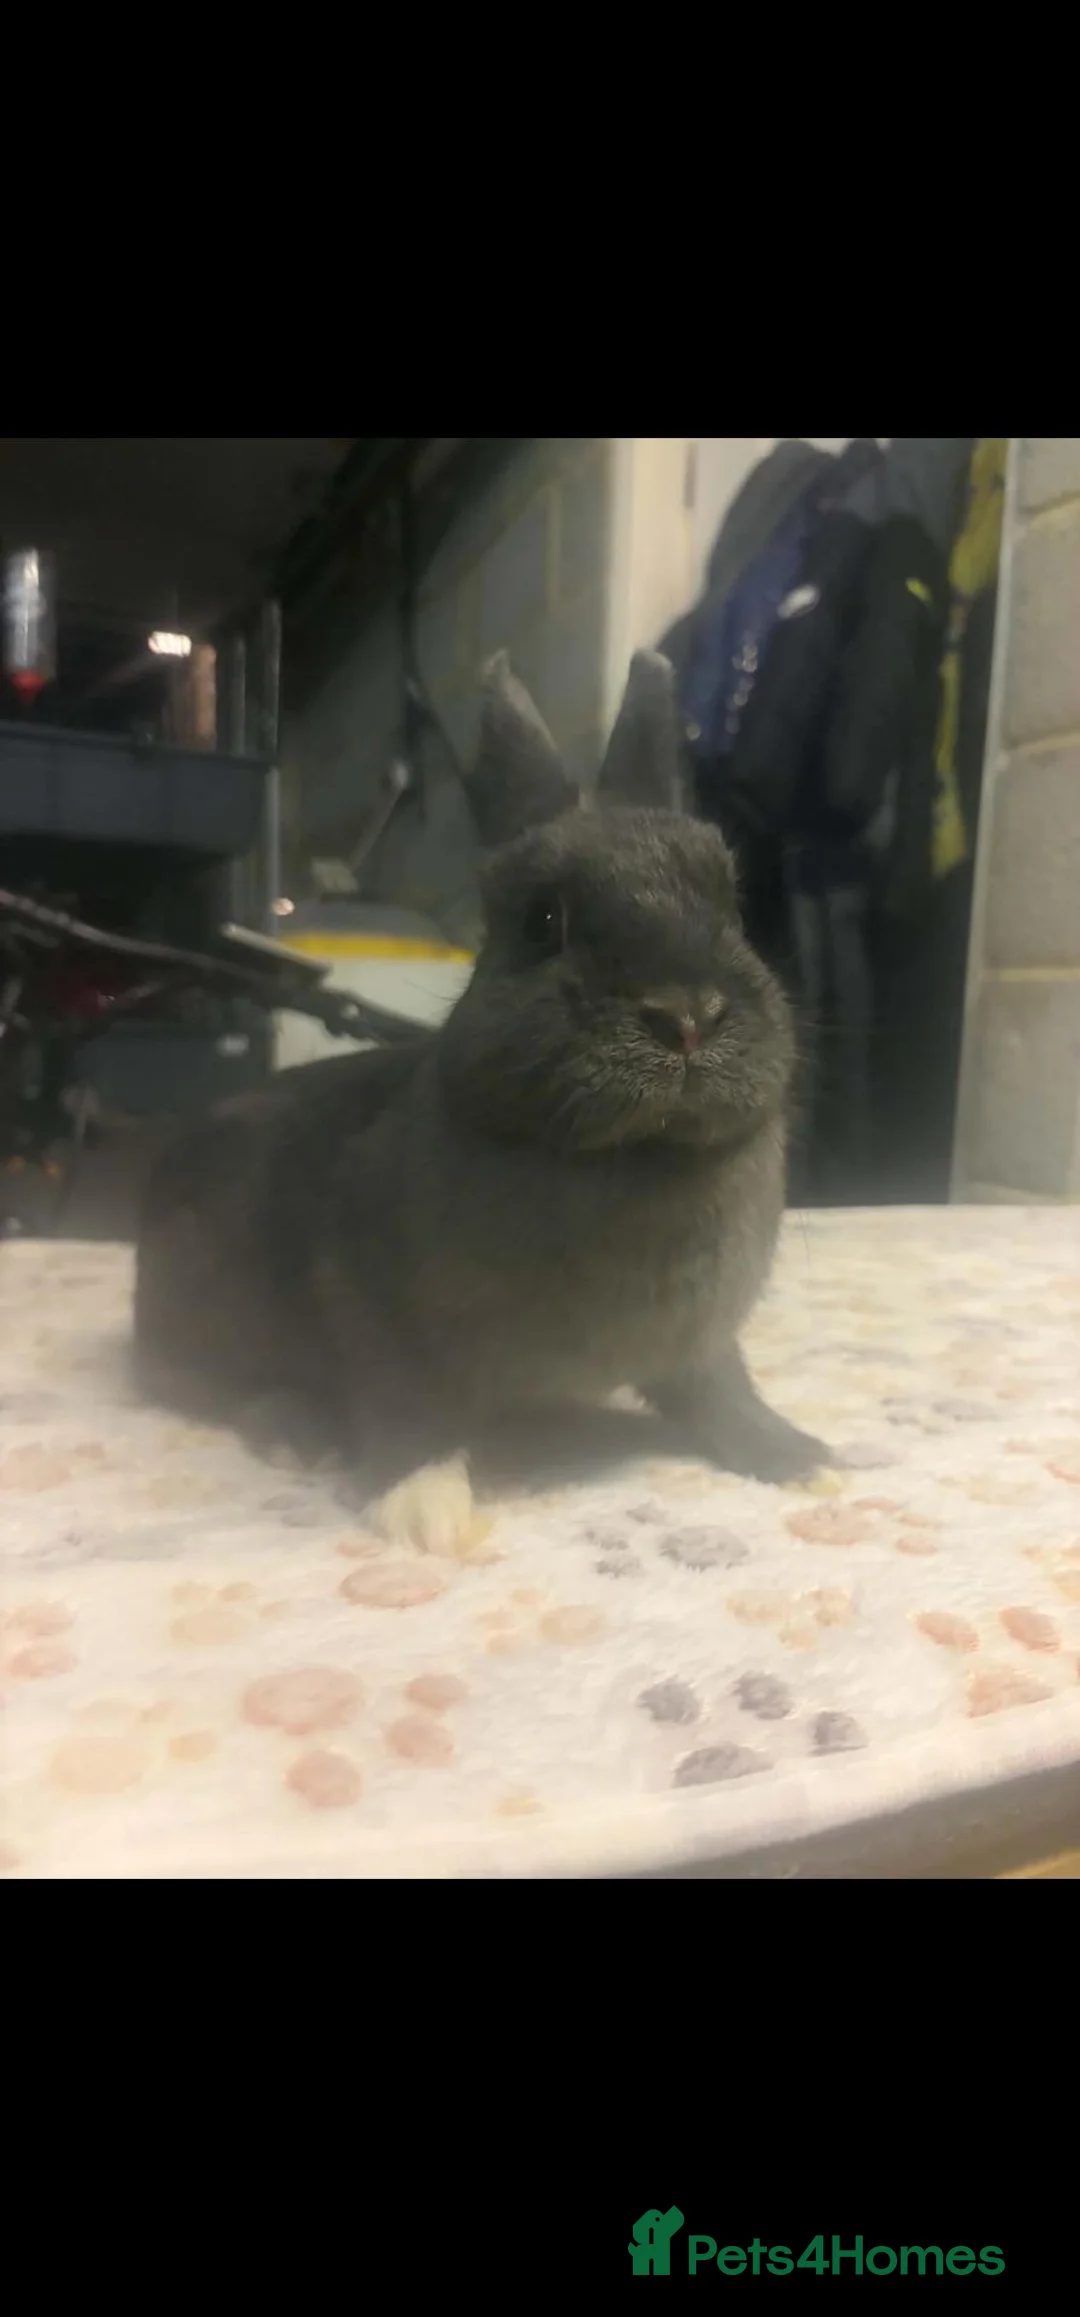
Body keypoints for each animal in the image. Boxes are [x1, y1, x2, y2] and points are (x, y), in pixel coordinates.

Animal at [134, 648, 830, 1555]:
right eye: (542, 920)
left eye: (733, 909)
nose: (686, 1016)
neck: (633, 1156)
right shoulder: (371, 1303)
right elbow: (403, 1401)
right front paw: (424, 1508)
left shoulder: (701, 1343)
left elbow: (723, 1392)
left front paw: (800, 1458)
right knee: (201, 1385)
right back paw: (297, 1431)